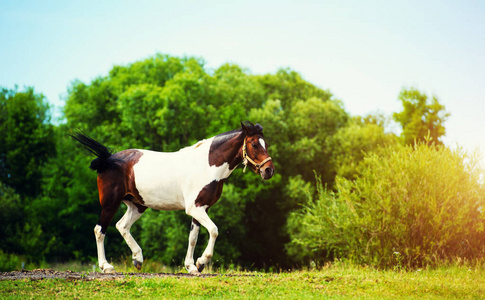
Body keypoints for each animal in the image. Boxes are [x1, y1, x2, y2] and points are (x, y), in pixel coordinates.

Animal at [69, 121, 272, 274]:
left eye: (266, 144)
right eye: (254, 144)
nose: (269, 170)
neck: (207, 166)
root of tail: (109, 159)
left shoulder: (201, 208)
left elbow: (192, 237)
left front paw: (191, 266)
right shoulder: (195, 208)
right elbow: (214, 230)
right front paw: (202, 262)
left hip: (137, 205)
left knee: (122, 226)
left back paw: (138, 259)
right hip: (110, 203)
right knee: (100, 230)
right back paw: (106, 266)